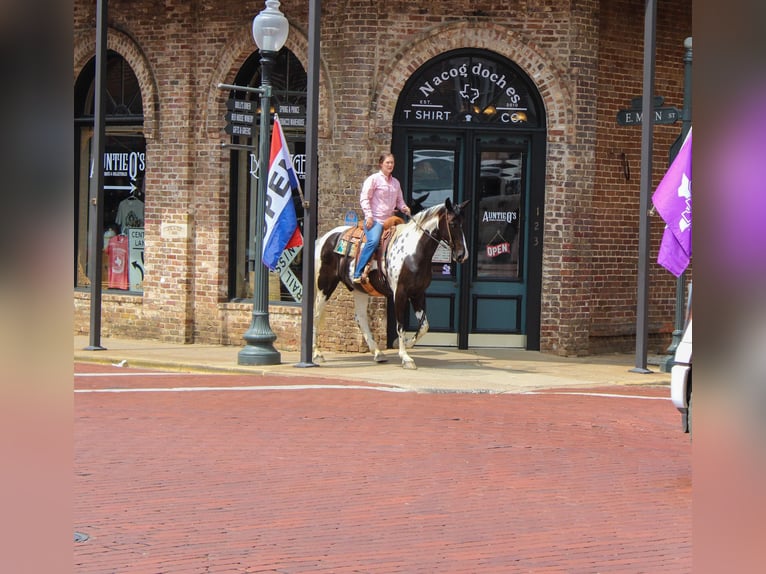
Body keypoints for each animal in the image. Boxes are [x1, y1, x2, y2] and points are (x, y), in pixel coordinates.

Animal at [314, 198, 472, 368]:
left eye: (463, 222)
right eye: (452, 223)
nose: (463, 255)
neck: (412, 252)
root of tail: (324, 238)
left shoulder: (418, 293)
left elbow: (424, 326)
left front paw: (402, 344)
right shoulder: (400, 294)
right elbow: (400, 325)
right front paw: (405, 357)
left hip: (359, 289)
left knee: (360, 318)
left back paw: (378, 353)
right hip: (325, 284)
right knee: (316, 313)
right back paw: (317, 354)